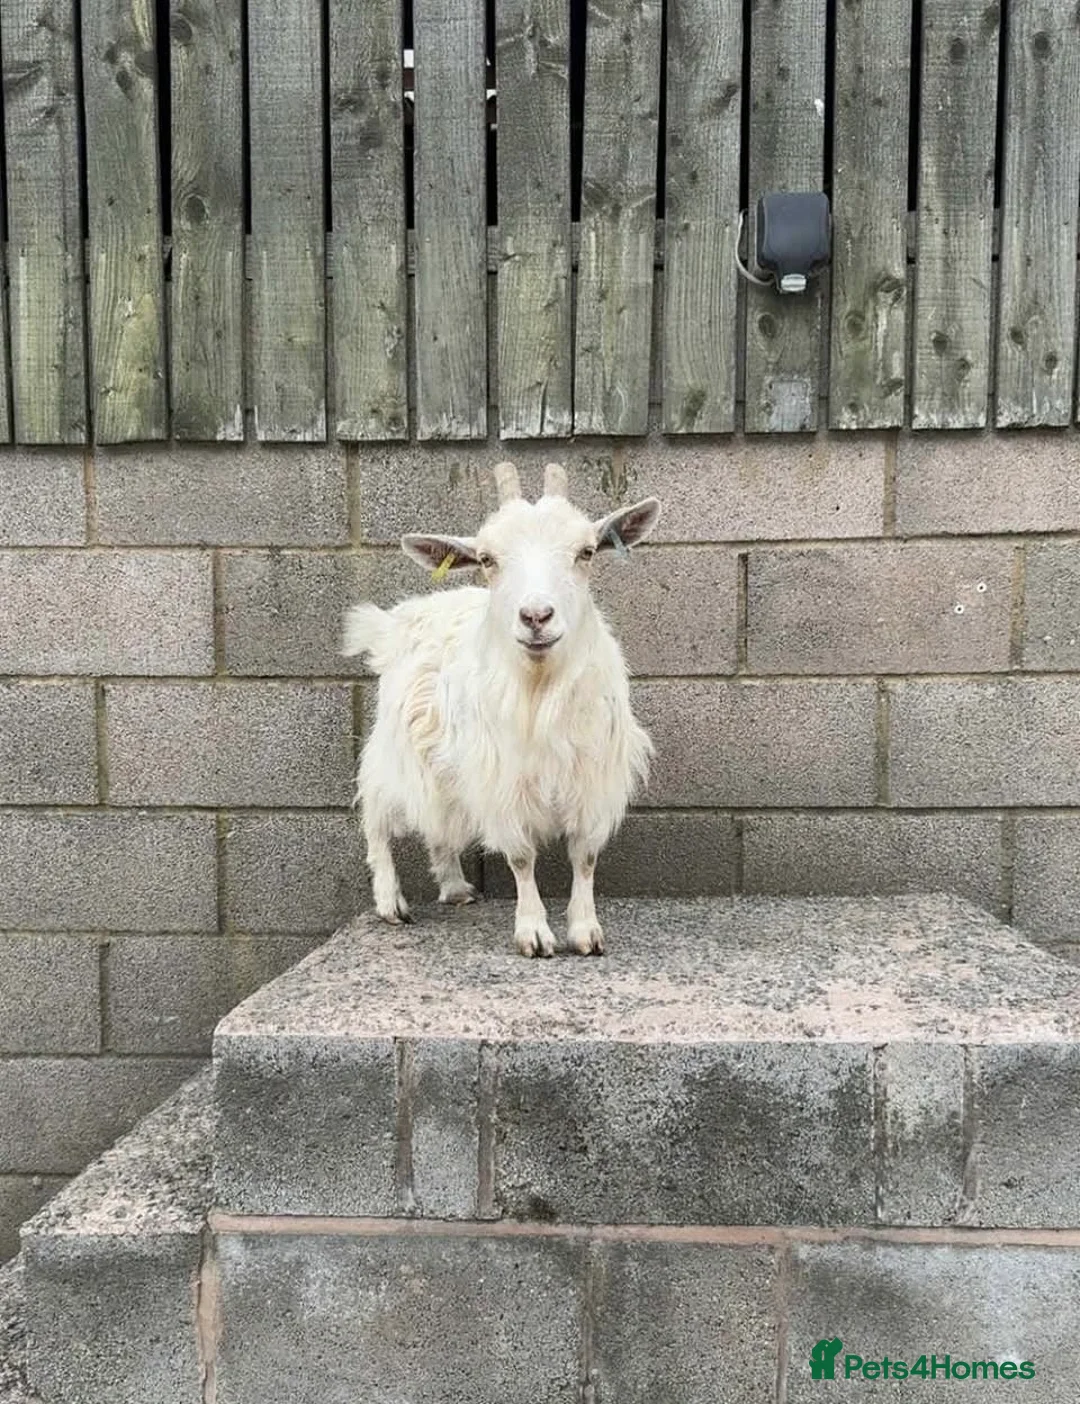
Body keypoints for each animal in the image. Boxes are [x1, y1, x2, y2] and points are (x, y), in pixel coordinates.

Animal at [342, 460, 661, 957]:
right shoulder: (502, 778)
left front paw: (585, 931)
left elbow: (585, 856)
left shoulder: (593, 776)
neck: (540, 688)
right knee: (376, 811)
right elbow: (521, 856)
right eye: (488, 559)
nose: (536, 616)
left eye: (587, 551)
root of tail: (396, 622)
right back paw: (390, 901)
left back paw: (455, 887)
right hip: (396, 747)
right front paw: (533, 932)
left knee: (439, 823)